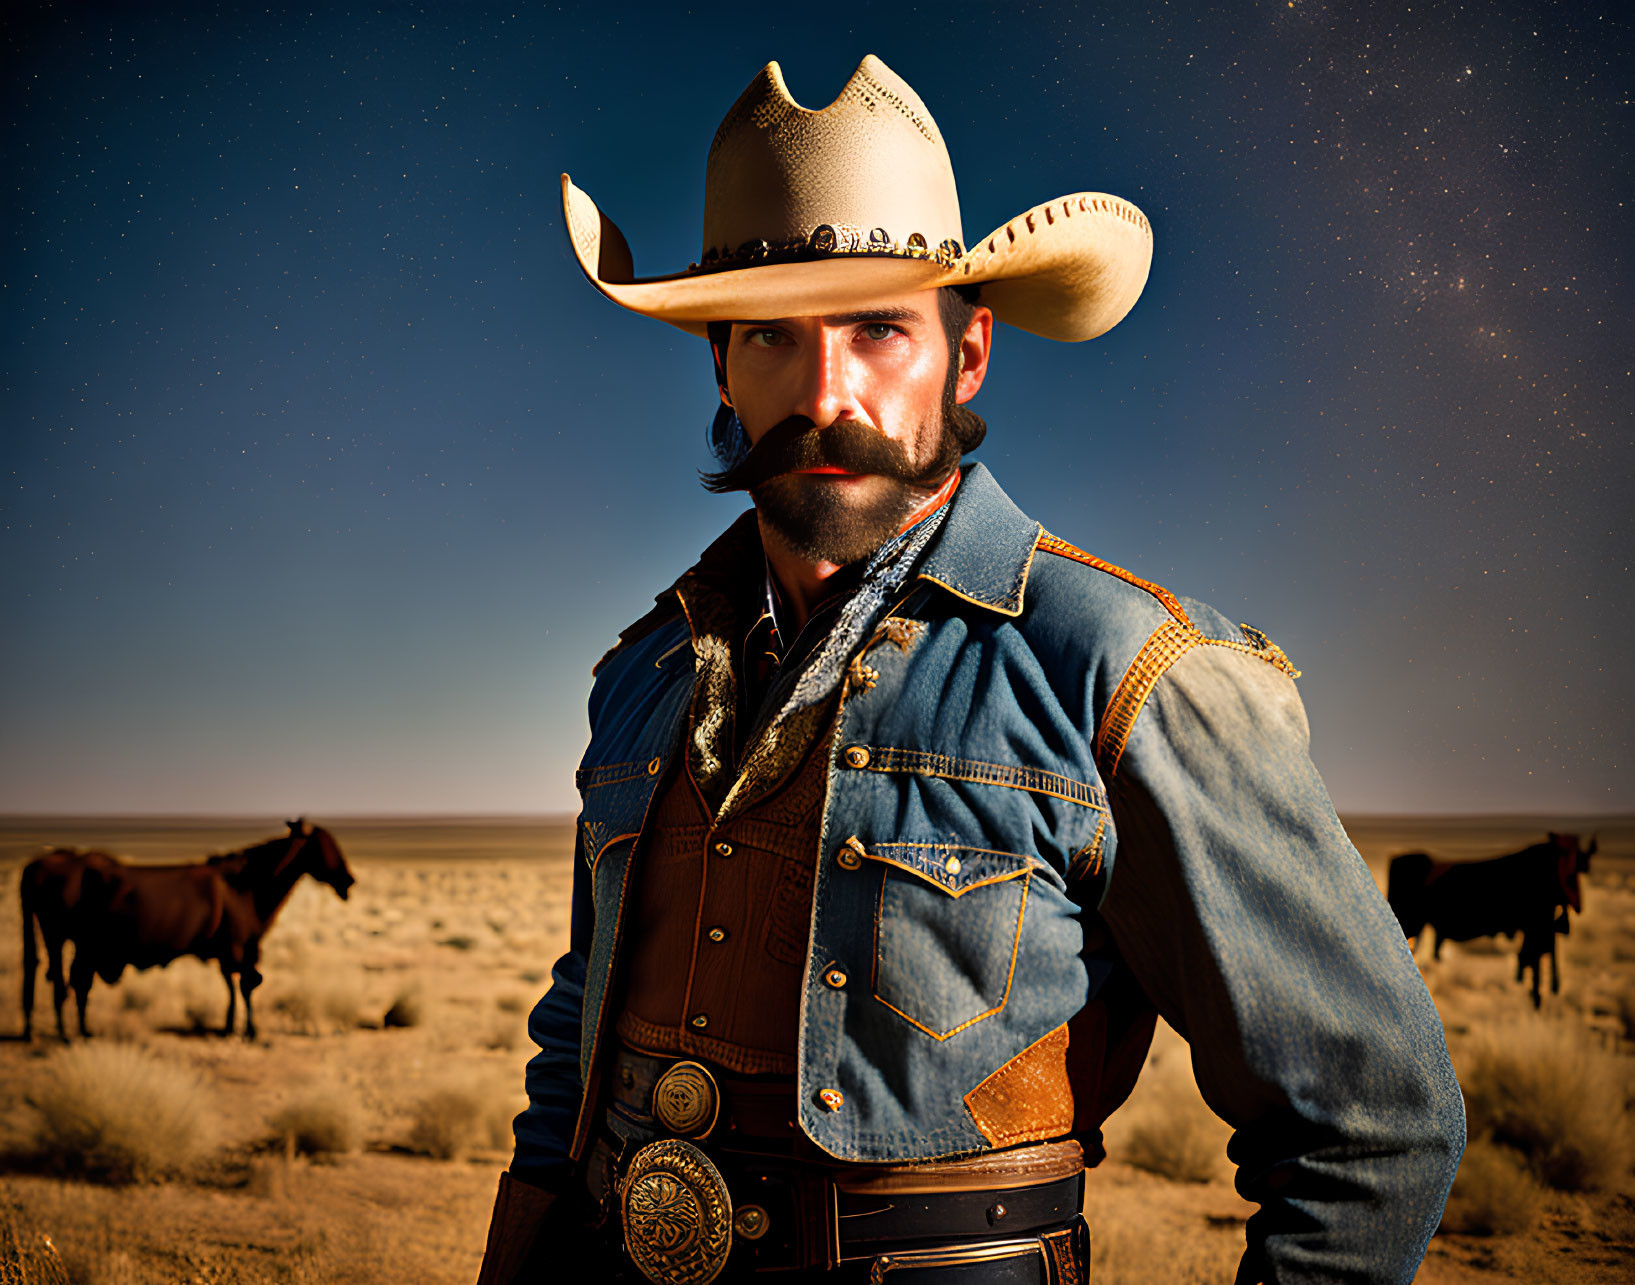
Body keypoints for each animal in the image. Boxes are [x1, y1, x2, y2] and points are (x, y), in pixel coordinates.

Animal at [19, 820, 354, 1039]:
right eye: (324, 845)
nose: (348, 880)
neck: (246, 885)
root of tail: (37, 864)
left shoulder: (230, 951)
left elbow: (232, 986)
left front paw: (229, 1026)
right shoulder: (241, 947)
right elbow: (247, 986)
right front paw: (249, 1030)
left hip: (81, 945)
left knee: (76, 983)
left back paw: (82, 1031)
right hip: (57, 936)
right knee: (63, 983)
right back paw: (66, 1035)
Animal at [1386, 830, 1589, 1000]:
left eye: (1578, 860)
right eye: (1562, 853)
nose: (1577, 903)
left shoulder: (1539, 932)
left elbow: (1529, 965)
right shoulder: (1535, 930)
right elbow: (1530, 967)